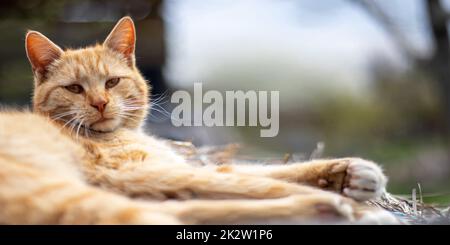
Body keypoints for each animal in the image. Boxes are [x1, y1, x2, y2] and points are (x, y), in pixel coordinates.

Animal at [0, 16, 400, 224]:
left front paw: (352, 174)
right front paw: (352, 203)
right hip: (63, 192)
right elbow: (261, 184)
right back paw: (337, 210)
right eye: (75, 89)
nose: (99, 103)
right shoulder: (145, 173)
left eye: (112, 82)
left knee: (184, 210)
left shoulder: (180, 168)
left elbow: (268, 172)